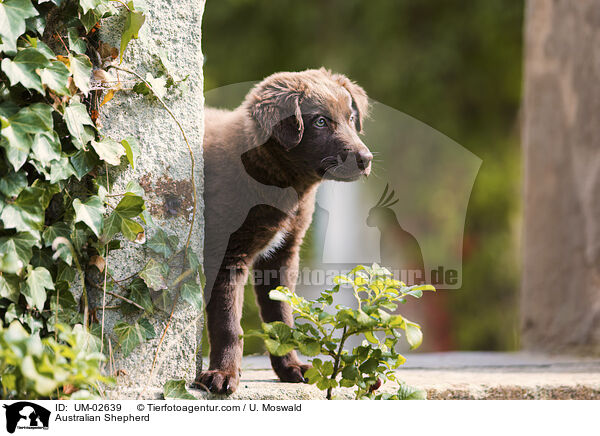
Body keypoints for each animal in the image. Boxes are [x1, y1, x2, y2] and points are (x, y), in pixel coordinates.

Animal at [197, 69, 372, 396]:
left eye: (351, 117)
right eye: (320, 121)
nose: (366, 160)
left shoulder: (281, 256)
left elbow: (281, 316)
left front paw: (290, 367)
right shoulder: (225, 254)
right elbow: (227, 322)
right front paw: (223, 374)